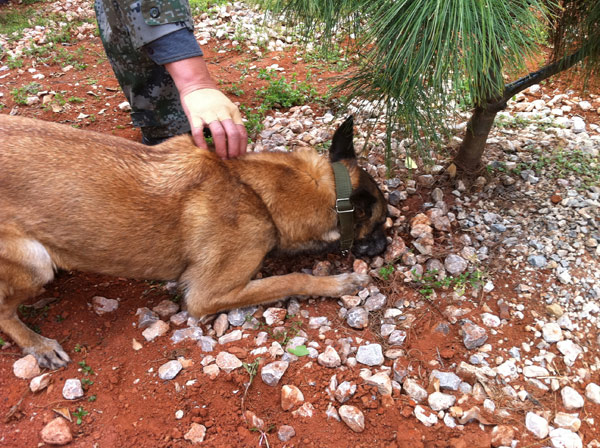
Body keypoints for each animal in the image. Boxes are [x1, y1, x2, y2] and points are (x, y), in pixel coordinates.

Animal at [1, 114, 390, 368]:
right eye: (381, 224)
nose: (387, 245)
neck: (254, 190)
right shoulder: (206, 296)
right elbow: (292, 278)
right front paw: (341, 282)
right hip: (34, 262)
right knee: (5, 311)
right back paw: (38, 345)